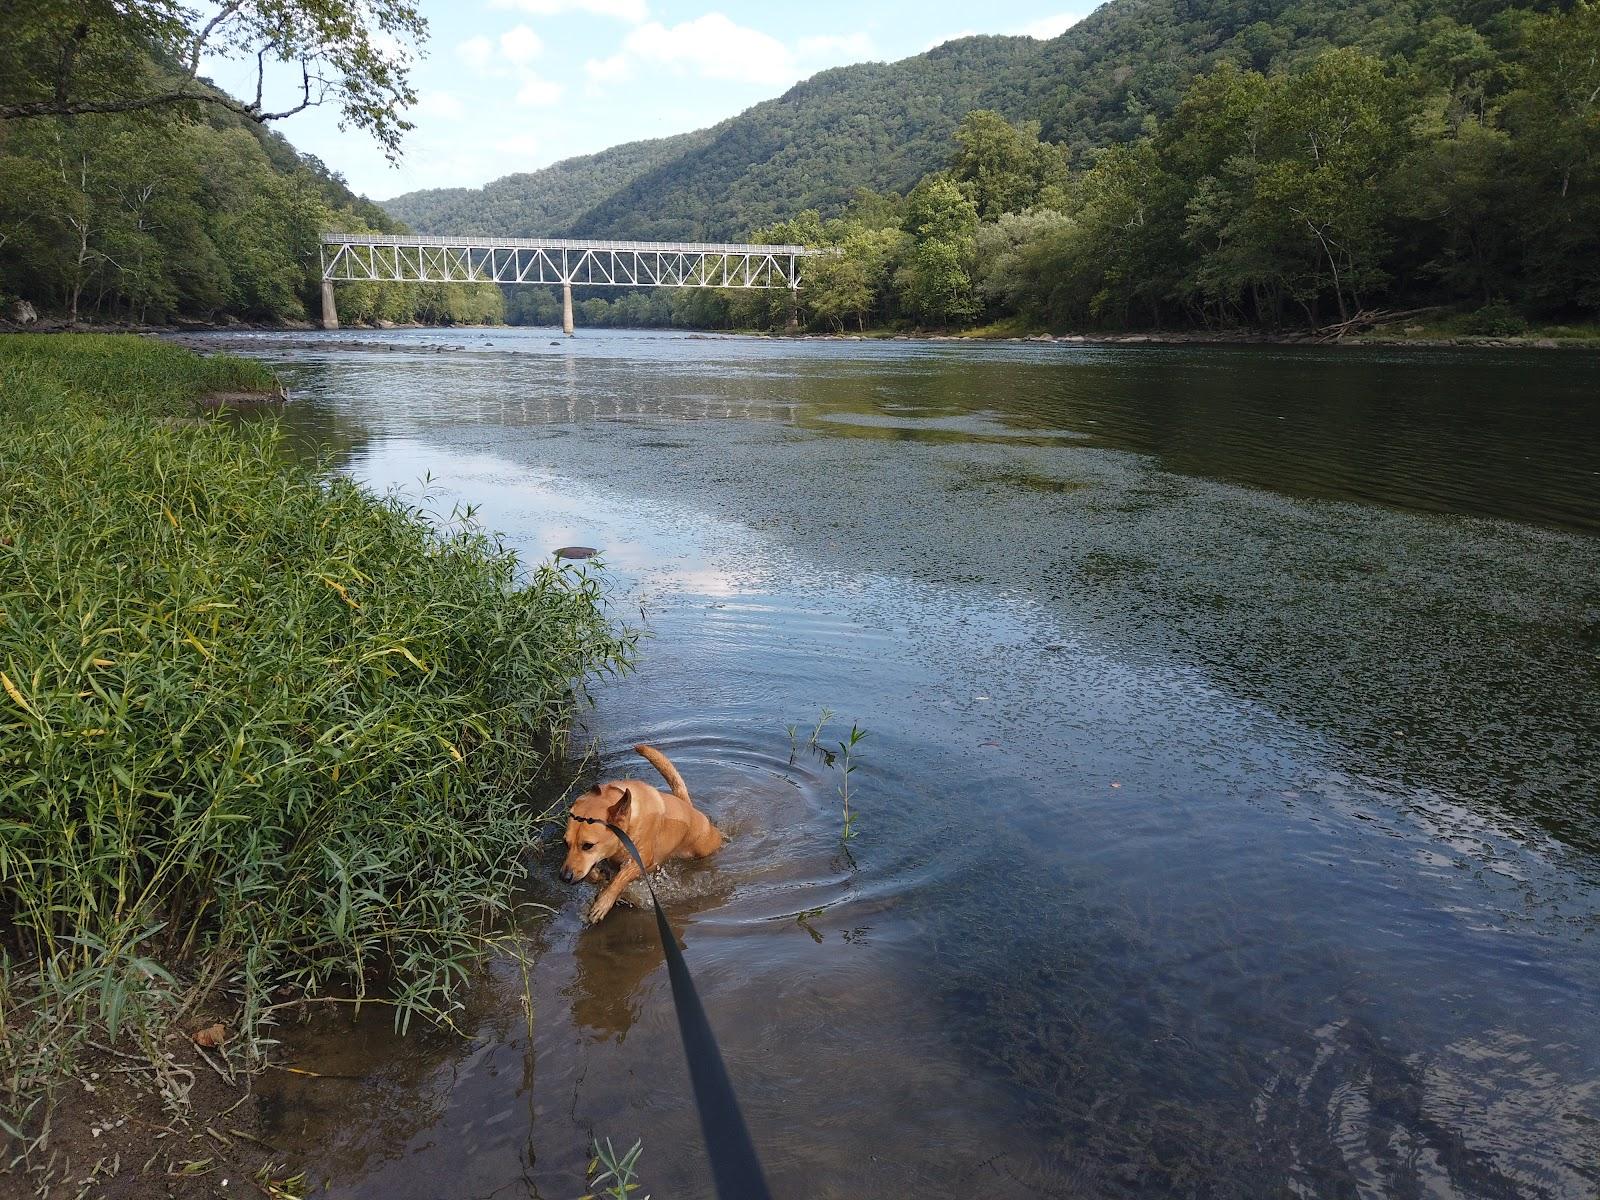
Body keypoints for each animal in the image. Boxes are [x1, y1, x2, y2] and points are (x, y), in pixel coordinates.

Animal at [556, 748, 720, 928]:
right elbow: (594, 875)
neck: (629, 820)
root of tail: (688, 806)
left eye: (588, 845)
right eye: (565, 843)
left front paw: (603, 904)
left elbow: (620, 878)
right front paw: (601, 877)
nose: (564, 877)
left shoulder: (642, 859)